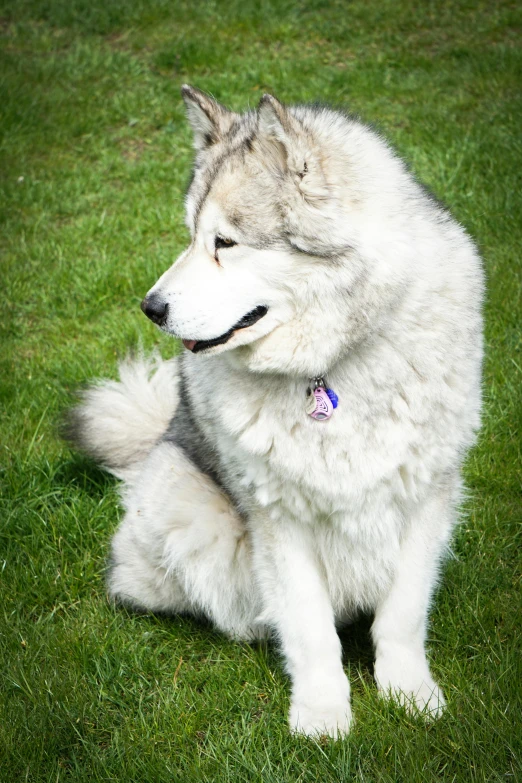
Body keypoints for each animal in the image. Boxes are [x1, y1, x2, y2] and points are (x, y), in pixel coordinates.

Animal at [67, 87, 482, 740]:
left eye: (225, 243)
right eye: (191, 236)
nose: (151, 308)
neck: (335, 362)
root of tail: (154, 443)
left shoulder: (427, 498)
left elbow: (402, 617)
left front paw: (410, 694)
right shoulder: (281, 519)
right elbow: (312, 631)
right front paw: (323, 715)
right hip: (186, 509)